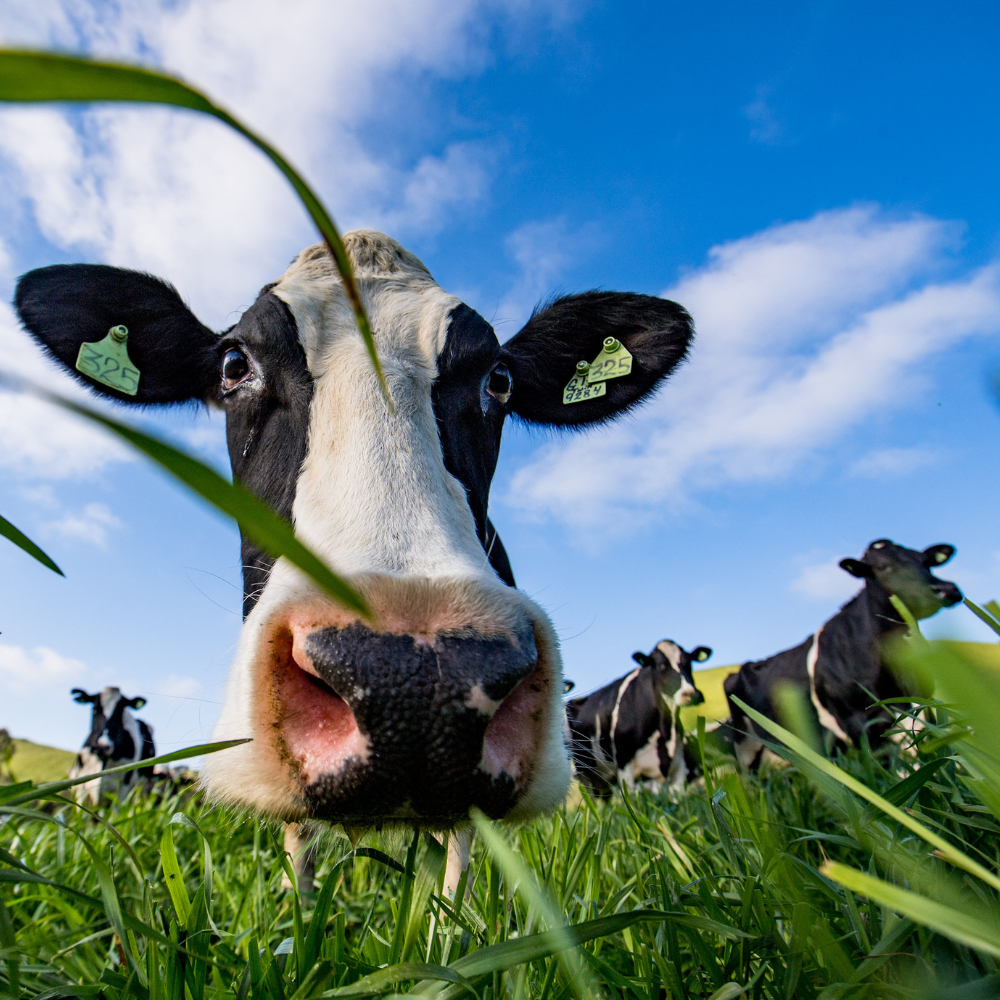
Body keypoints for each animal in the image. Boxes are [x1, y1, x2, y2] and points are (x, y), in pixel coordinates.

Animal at [566, 640, 710, 797]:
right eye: (661, 666)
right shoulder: (624, 766)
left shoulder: (679, 766)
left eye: (689, 662)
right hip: (585, 773)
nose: (691, 695)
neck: (665, 730)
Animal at [724, 538, 962, 770]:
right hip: (746, 746)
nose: (946, 589)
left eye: (927, 562)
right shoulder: (858, 722)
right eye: (883, 567)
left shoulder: (918, 701)